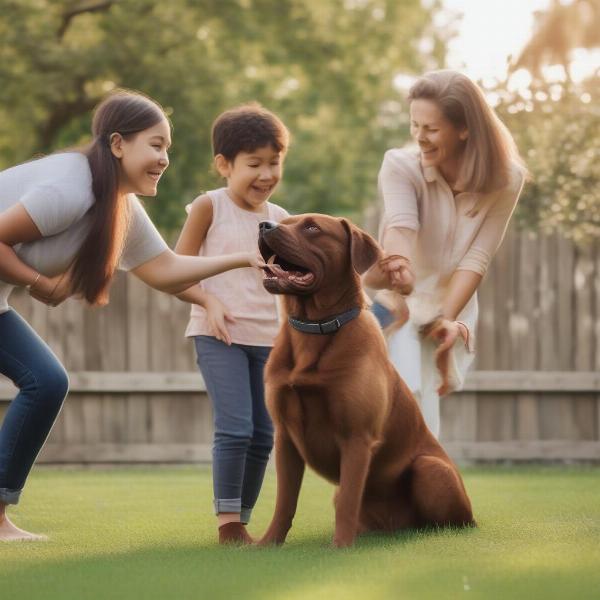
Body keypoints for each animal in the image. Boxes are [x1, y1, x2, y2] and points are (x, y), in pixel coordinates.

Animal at [258, 214, 474, 548]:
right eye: (285, 221)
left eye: (312, 227)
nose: (264, 225)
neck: (313, 327)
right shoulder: (285, 438)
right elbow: (285, 501)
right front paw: (269, 542)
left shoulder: (356, 436)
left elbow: (349, 497)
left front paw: (340, 547)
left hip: (431, 468)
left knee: (452, 522)